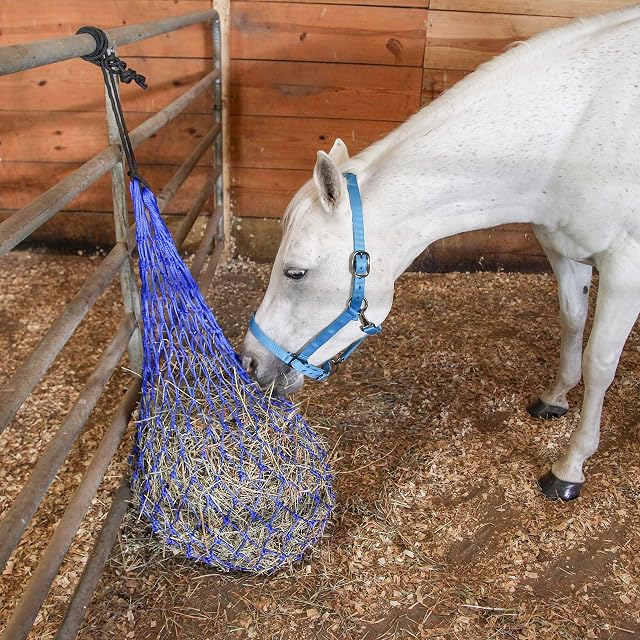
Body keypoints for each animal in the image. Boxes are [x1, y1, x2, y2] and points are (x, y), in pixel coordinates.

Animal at [241, 6, 640, 501]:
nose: (250, 361)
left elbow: (599, 364)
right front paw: (555, 397)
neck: (574, 129)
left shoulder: (626, 272)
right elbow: (571, 321)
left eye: (295, 272)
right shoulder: (565, 248)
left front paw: (570, 466)